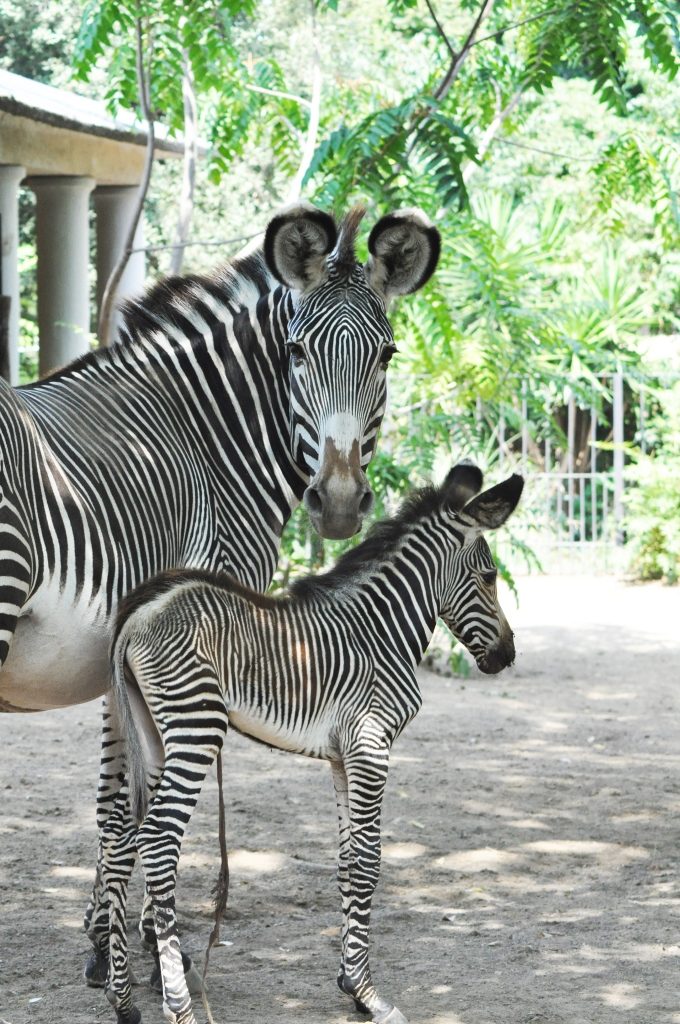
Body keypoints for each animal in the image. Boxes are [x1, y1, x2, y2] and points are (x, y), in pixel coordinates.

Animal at [0, 202, 441, 986]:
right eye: (296, 353)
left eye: (386, 355)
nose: (336, 503)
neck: (207, 440)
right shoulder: (172, 623)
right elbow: (142, 801)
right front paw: (151, 947)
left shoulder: (124, 653)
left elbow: (118, 801)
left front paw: (105, 943)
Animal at [106, 462, 523, 1024]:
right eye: (489, 577)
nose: (507, 655)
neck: (380, 631)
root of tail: (141, 610)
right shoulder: (372, 747)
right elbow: (368, 862)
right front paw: (370, 994)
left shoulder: (344, 758)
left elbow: (347, 861)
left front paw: (350, 983)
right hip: (196, 727)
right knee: (157, 839)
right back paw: (180, 1006)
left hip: (149, 735)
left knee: (122, 837)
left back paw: (123, 1000)